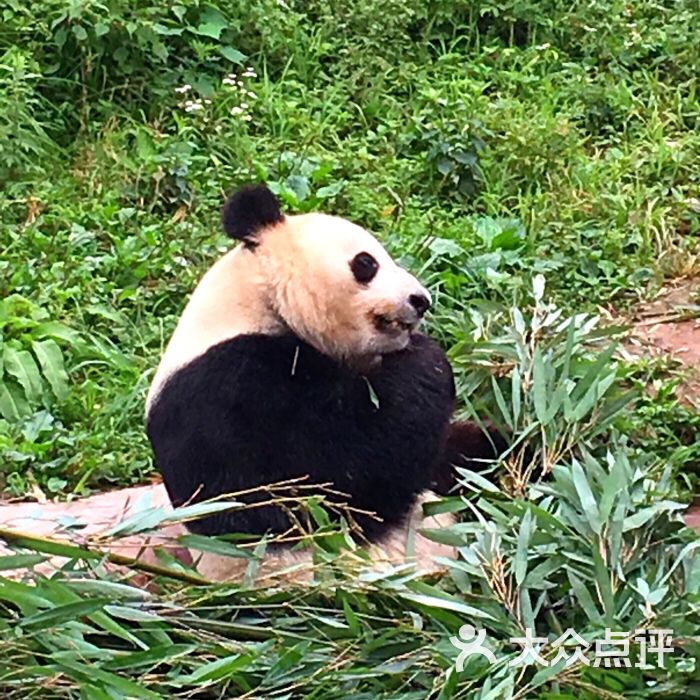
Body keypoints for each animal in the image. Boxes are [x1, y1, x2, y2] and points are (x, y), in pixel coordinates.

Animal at [145, 185, 498, 580]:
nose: (421, 300)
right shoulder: (226, 393)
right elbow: (337, 478)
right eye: (366, 263)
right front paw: (427, 359)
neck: (257, 303)